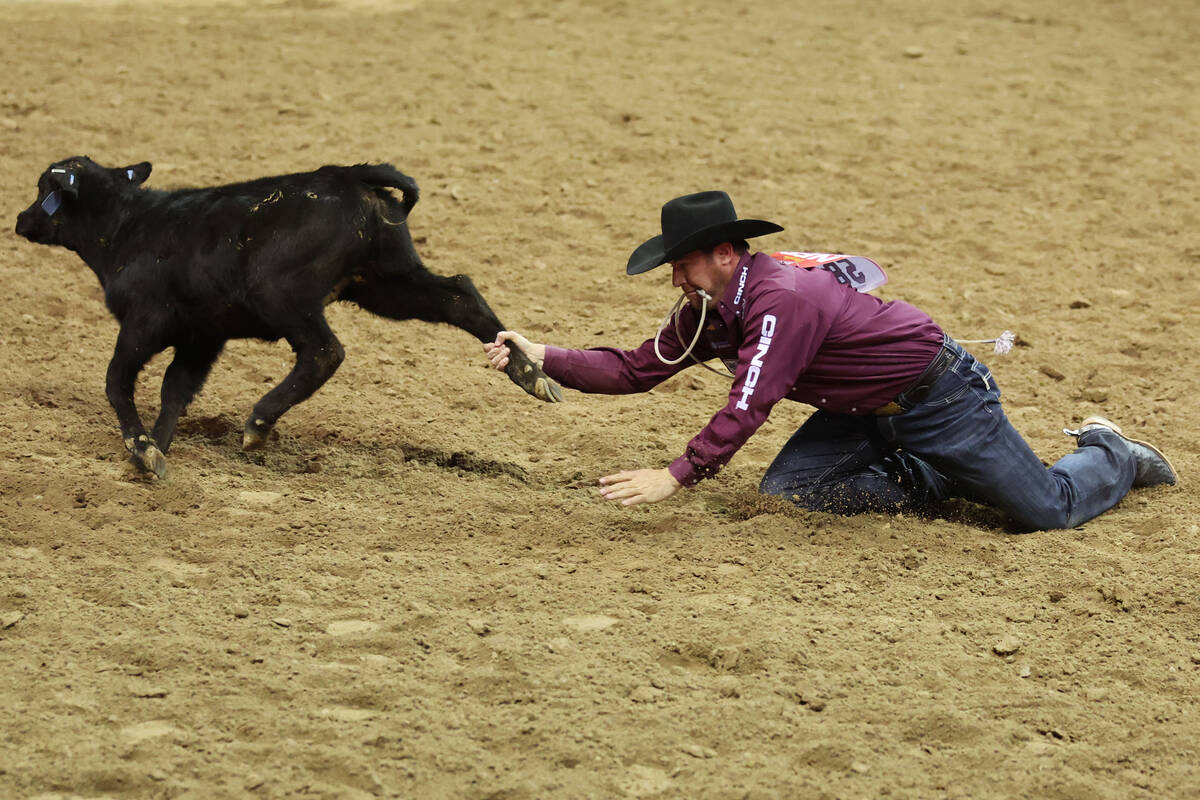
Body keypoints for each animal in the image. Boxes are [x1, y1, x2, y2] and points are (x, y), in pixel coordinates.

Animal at [16, 155, 561, 474]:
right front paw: (159, 448)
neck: (129, 227)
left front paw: (142, 448)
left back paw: (259, 422)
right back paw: (530, 374)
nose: (21, 219)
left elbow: (117, 381)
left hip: (283, 295)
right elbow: (176, 392)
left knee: (324, 351)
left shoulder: (144, 323)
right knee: (459, 293)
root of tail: (345, 174)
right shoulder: (202, 336)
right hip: (387, 283)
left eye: (44, 189)